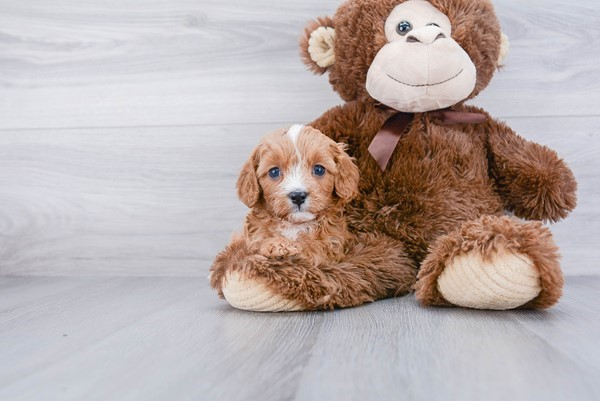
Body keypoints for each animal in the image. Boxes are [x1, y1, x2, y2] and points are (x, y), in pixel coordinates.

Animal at [211, 124, 418, 310]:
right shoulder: (252, 238)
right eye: (274, 172)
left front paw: (296, 248)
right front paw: (277, 246)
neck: (295, 225)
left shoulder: (332, 246)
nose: (298, 195)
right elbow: (259, 243)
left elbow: (313, 249)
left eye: (319, 169)